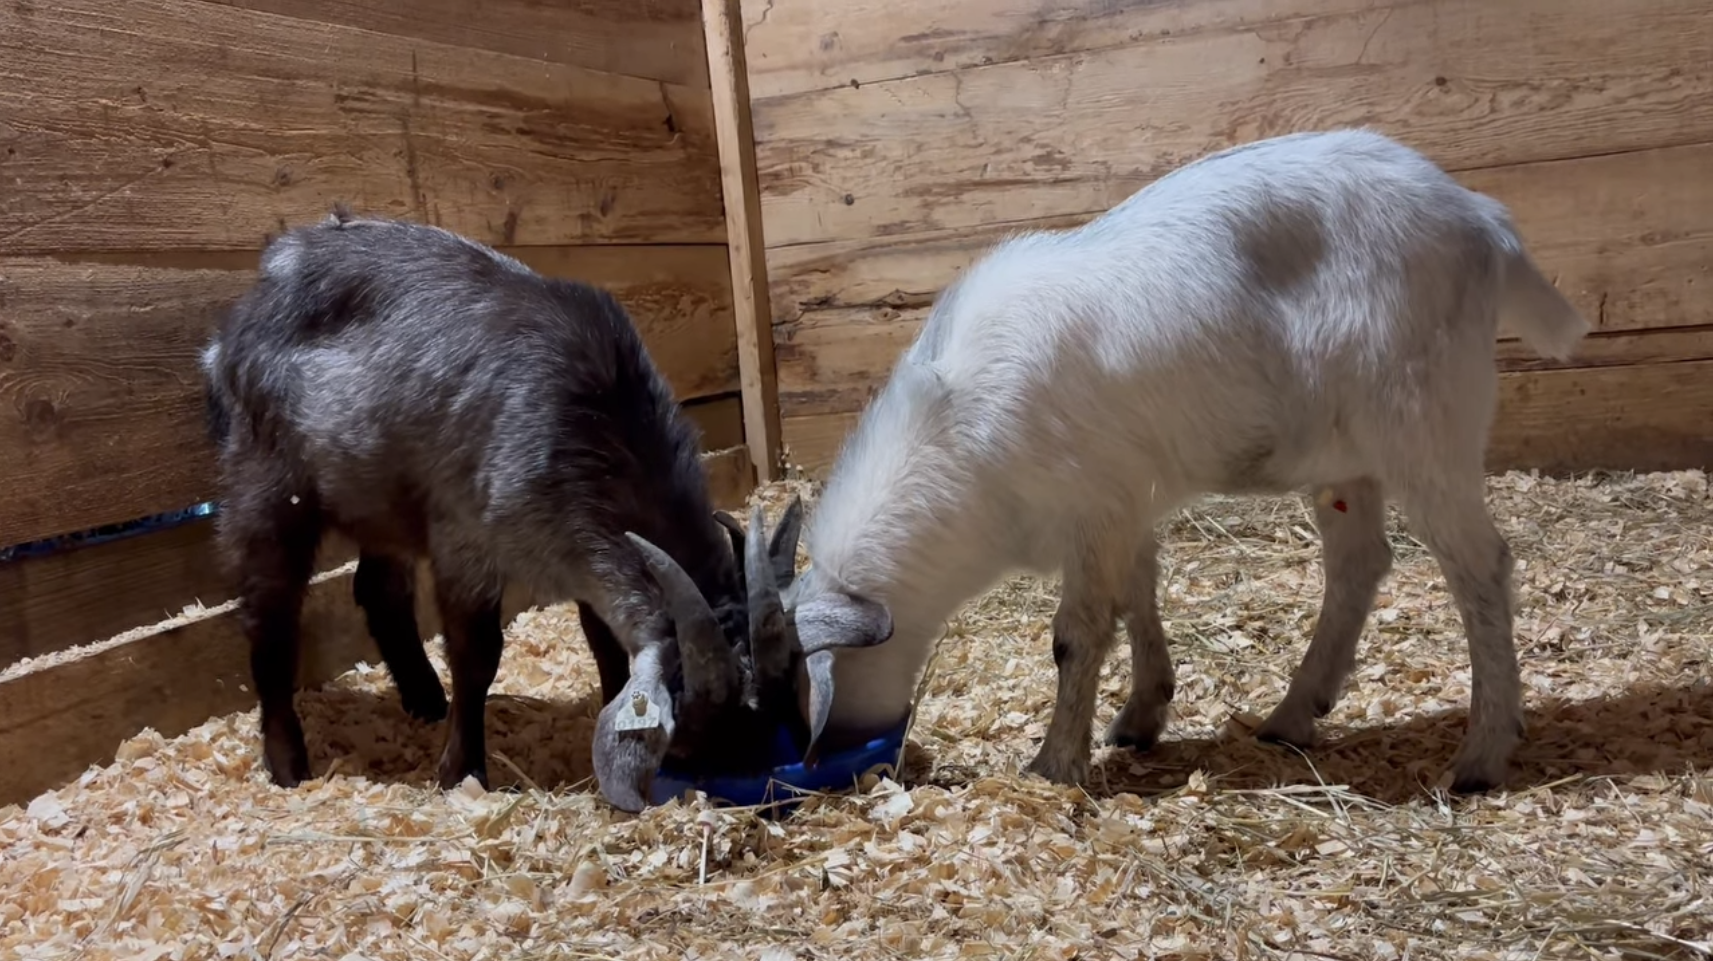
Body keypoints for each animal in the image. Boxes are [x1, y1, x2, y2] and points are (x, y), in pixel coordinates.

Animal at [199, 208, 879, 811]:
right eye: (694, 722)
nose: (746, 777)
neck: (590, 414)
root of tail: (262, 288)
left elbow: (603, 641)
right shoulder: (465, 540)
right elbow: (478, 655)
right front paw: (461, 771)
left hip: (382, 503)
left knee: (378, 590)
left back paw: (425, 701)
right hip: (268, 482)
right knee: (268, 611)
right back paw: (288, 760)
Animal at [781, 128, 1590, 795]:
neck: (959, 430)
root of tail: (1482, 221)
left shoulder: (1093, 506)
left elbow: (1078, 634)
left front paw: (1055, 763)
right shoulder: (1123, 504)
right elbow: (1137, 598)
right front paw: (1141, 715)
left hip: (1424, 424)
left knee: (1479, 565)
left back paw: (1482, 754)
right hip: (1345, 456)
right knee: (1360, 561)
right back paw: (1292, 715)